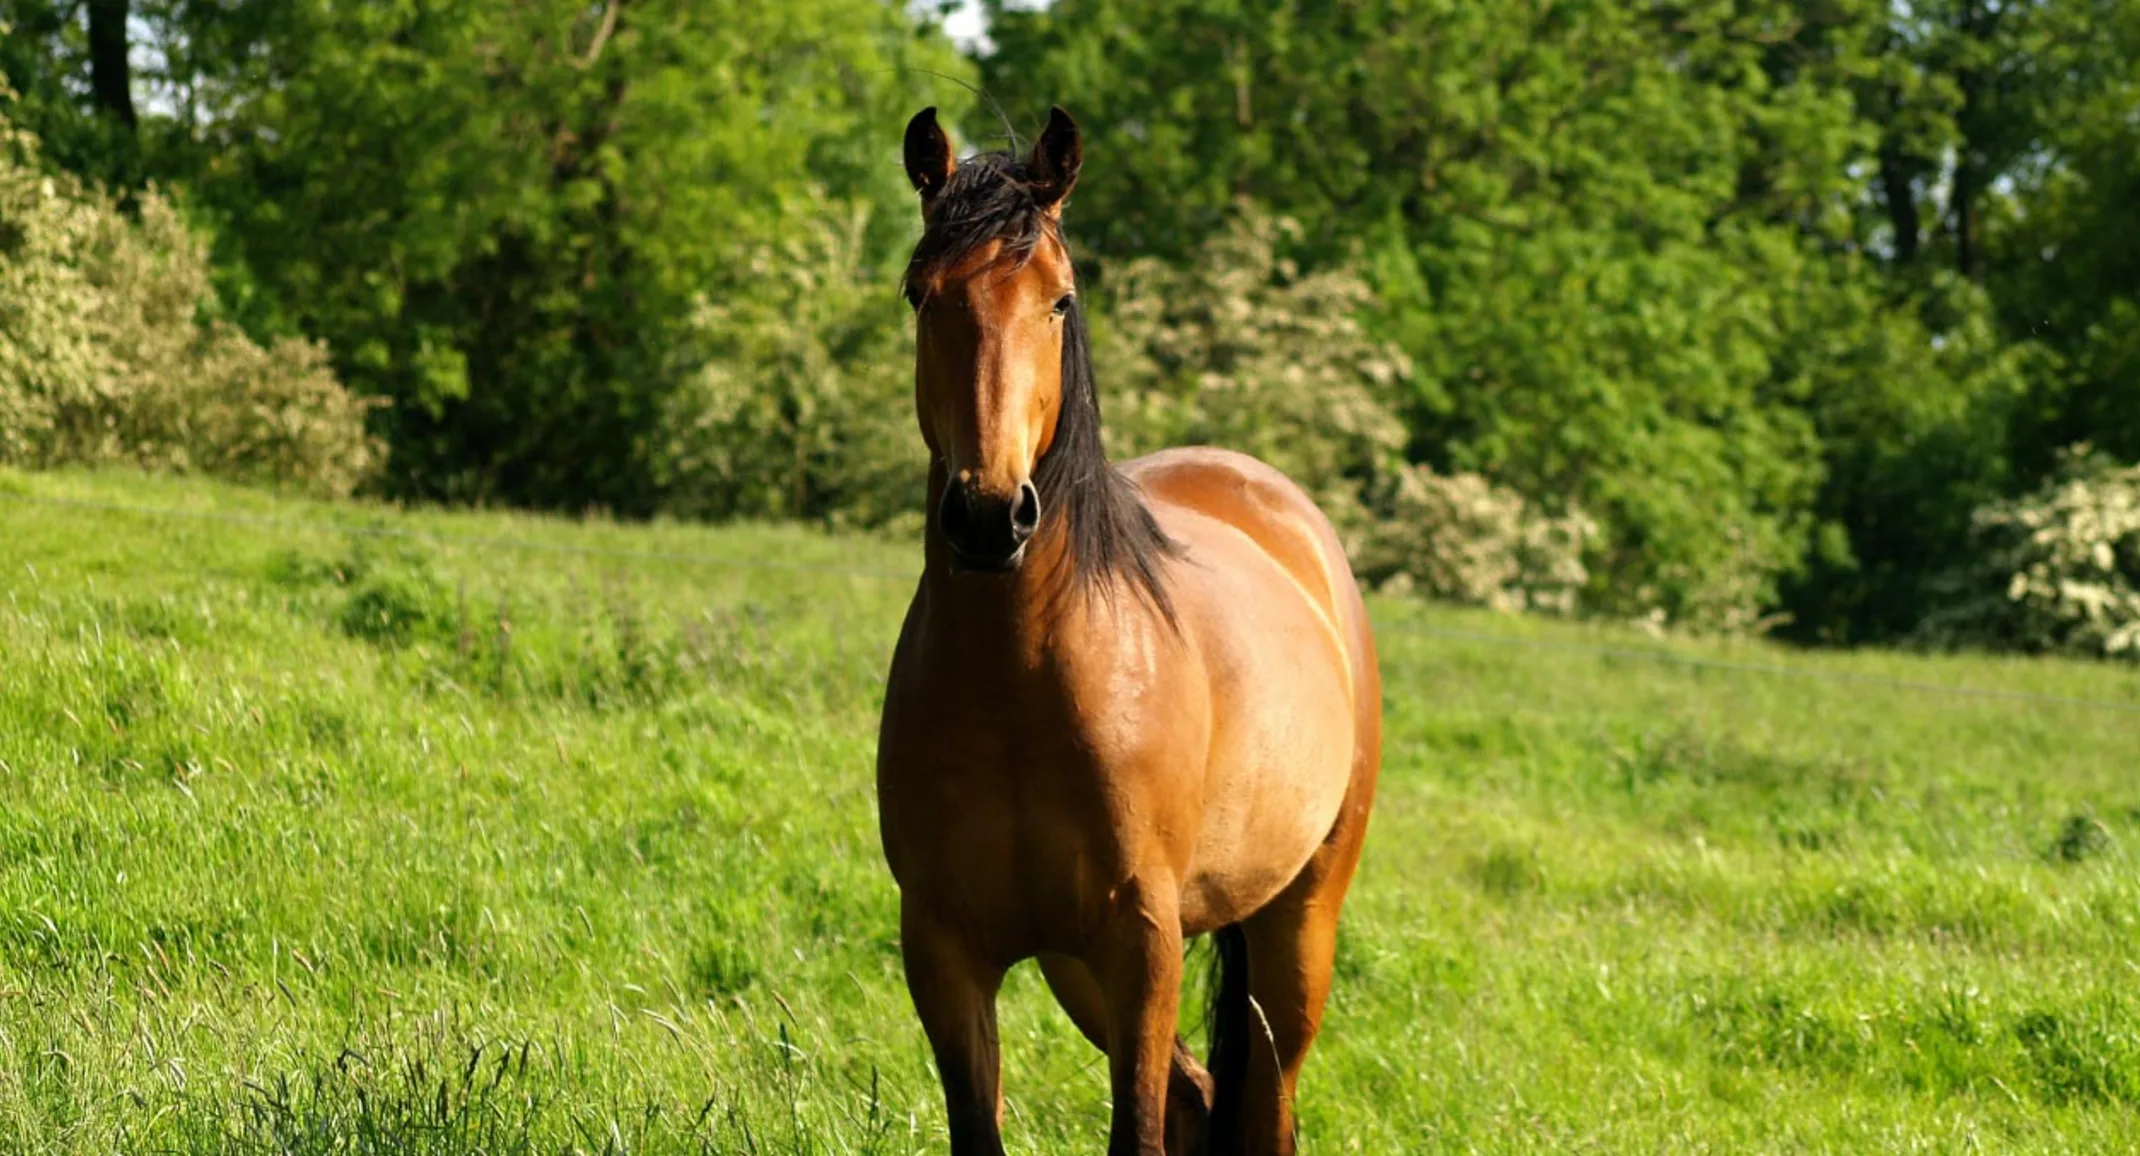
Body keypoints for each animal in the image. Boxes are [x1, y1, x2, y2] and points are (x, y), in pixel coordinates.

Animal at [873, 103, 1386, 1147]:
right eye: (920, 294)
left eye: (1059, 301)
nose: (989, 516)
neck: (1018, 686)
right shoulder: (945, 949)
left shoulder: (1143, 942)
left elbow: (1137, 1130)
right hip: (1078, 967)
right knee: (1201, 1096)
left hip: (1297, 926)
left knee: (1265, 1101)